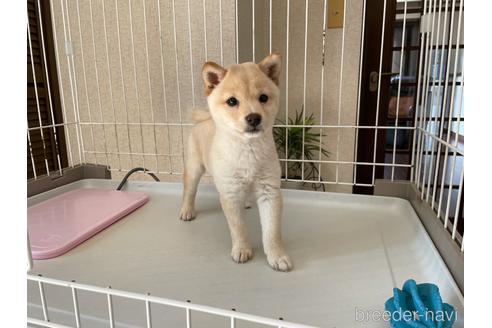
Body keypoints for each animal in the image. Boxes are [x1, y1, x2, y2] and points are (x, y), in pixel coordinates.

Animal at [179, 52, 292, 270]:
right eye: (232, 101)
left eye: (263, 98)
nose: (254, 117)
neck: (248, 150)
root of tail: (205, 119)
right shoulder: (230, 193)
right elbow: (238, 228)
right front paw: (242, 250)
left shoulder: (269, 191)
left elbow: (272, 232)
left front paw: (277, 256)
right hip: (195, 168)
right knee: (190, 191)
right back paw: (187, 210)